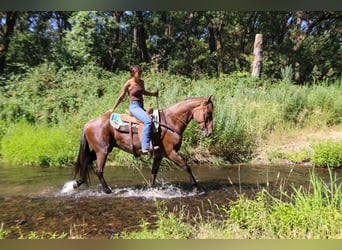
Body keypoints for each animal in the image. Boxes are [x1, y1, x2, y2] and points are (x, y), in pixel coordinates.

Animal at [74, 95, 214, 193]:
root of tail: (88, 123)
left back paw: (78, 182)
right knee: (98, 170)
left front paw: (151, 189)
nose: (209, 133)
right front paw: (196, 188)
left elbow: (153, 172)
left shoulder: (159, 155)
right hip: (102, 151)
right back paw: (107, 190)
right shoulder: (171, 152)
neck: (170, 122)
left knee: (86, 160)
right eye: (208, 113)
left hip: (102, 150)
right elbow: (187, 167)